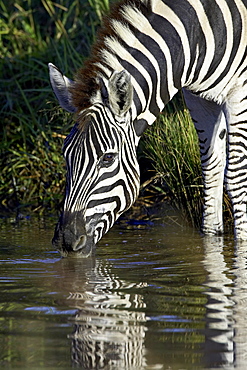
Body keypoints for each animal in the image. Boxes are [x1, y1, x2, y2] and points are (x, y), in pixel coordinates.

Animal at [48, 0, 247, 256]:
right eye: (66, 154)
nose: (67, 241)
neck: (198, 33)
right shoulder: (198, 98)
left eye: (108, 158)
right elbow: (211, 168)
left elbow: (236, 178)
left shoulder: (239, 93)